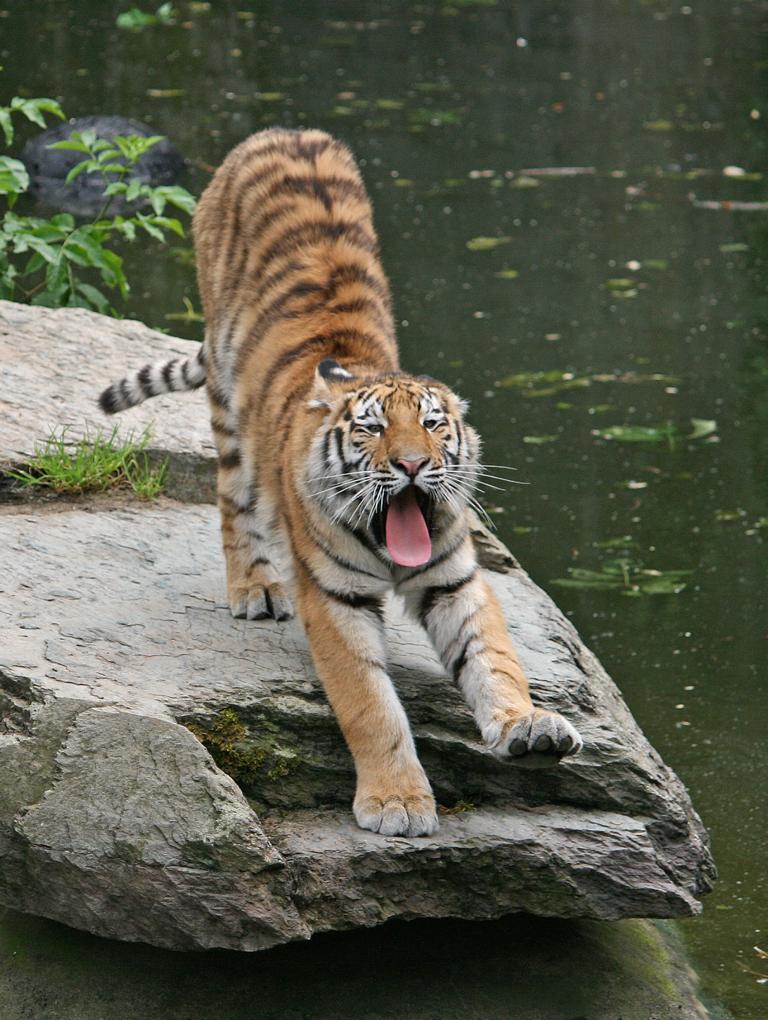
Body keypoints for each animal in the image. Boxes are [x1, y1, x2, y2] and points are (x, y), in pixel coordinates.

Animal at [100, 127, 579, 836]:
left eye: (433, 425)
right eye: (373, 430)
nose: (412, 465)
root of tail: (280, 132)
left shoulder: (455, 580)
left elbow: (495, 659)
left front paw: (529, 726)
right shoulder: (334, 599)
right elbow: (370, 704)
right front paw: (397, 803)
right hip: (229, 409)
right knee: (232, 501)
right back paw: (255, 588)